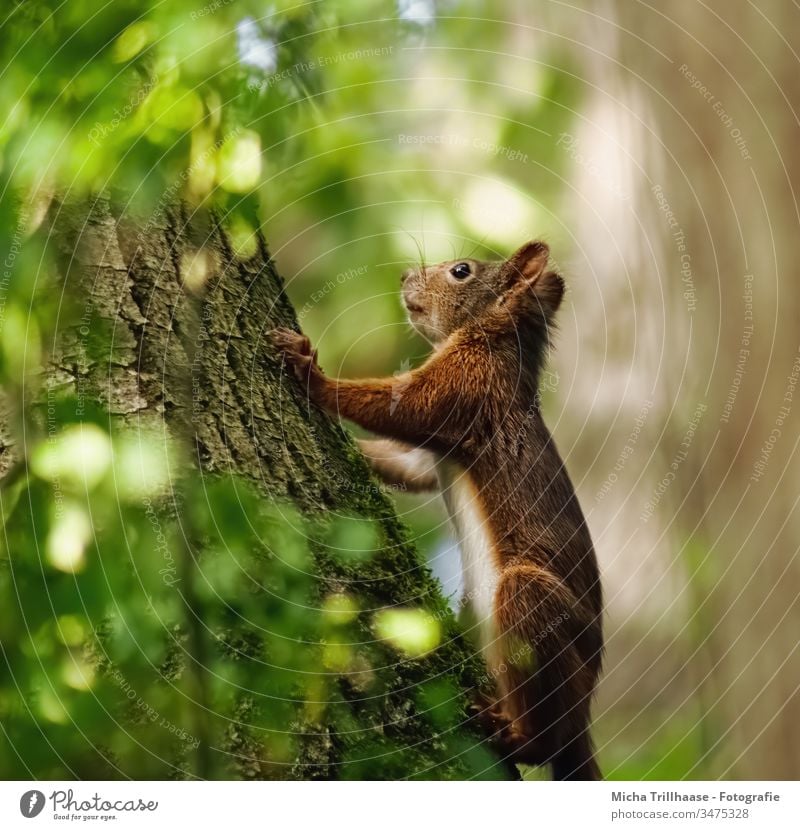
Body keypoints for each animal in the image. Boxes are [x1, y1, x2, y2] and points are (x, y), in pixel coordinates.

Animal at [272, 239, 604, 780]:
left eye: (461, 271)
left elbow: (404, 407)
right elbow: (408, 465)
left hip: (533, 607)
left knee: (546, 736)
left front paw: (311, 373)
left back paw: (515, 736)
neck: (494, 340)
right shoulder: (431, 455)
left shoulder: (468, 386)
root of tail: (584, 719)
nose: (405, 275)